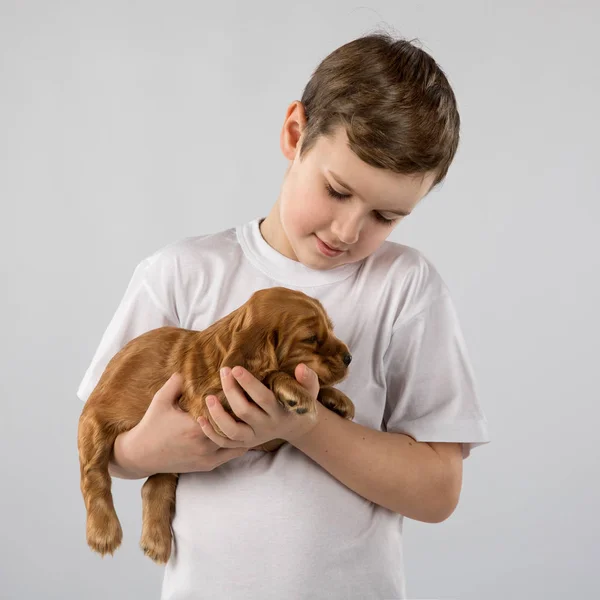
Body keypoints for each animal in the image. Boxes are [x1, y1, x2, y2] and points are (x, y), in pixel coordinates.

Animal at [77, 286, 354, 564]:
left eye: (330, 328)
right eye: (310, 338)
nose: (349, 357)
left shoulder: (263, 437)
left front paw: (336, 398)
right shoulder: (210, 405)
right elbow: (266, 375)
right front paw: (294, 389)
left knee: (153, 487)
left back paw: (156, 541)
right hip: (94, 423)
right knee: (94, 475)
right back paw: (103, 531)